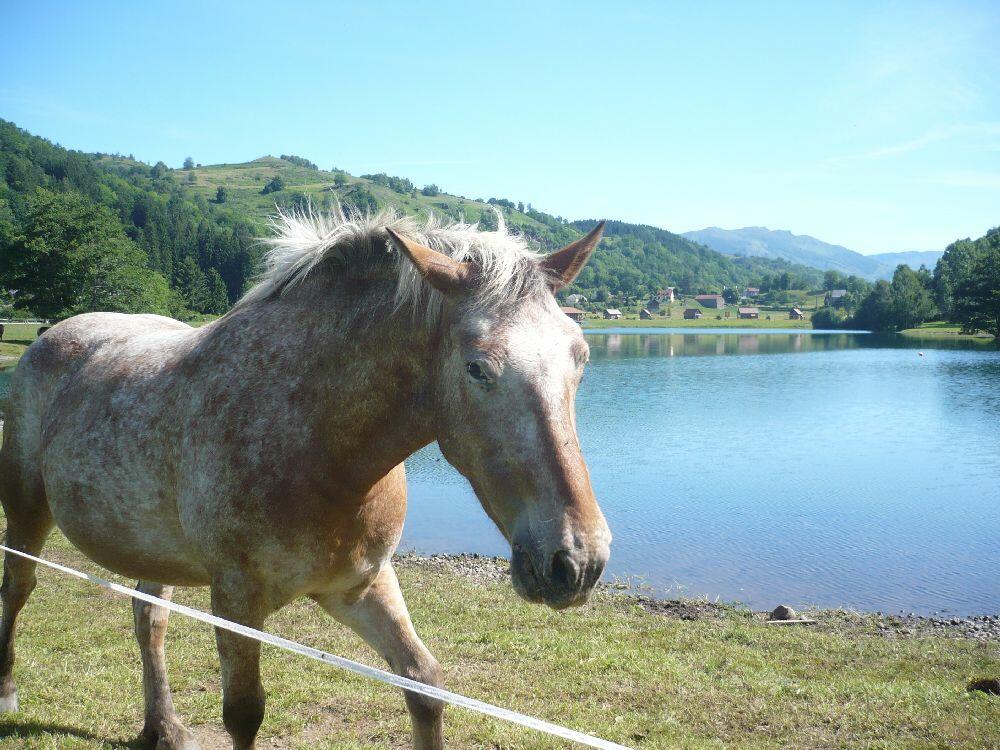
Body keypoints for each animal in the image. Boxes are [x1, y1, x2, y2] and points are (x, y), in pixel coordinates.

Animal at [0, 208, 611, 749]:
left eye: (581, 357)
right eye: (478, 367)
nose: (576, 561)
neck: (317, 442)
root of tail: (49, 337)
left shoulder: (361, 586)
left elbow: (425, 685)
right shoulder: (236, 600)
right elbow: (244, 715)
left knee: (148, 618)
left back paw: (164, 728)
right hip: (28, 513)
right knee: (18, 589)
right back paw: (9, 693)